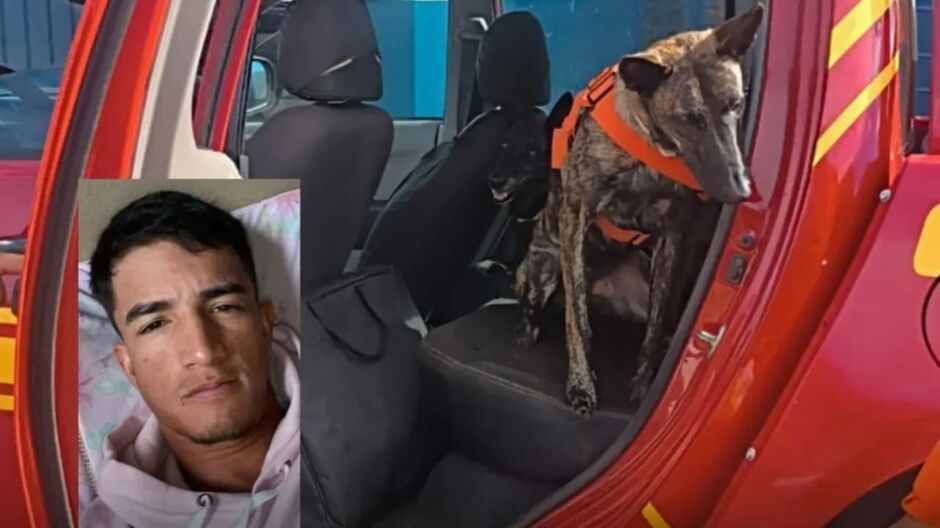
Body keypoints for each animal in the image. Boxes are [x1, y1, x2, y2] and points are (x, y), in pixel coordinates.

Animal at [513, 4, 765, 415]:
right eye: (688, 119)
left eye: (736, 105)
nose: (739, 191)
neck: (647, 149)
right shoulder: (575, 218)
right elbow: (576, 323)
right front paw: (581, 383)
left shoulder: (672, 237)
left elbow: (657, 324)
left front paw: (644, 383)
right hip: (541, 270)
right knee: (547, 307)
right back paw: (528, 331)